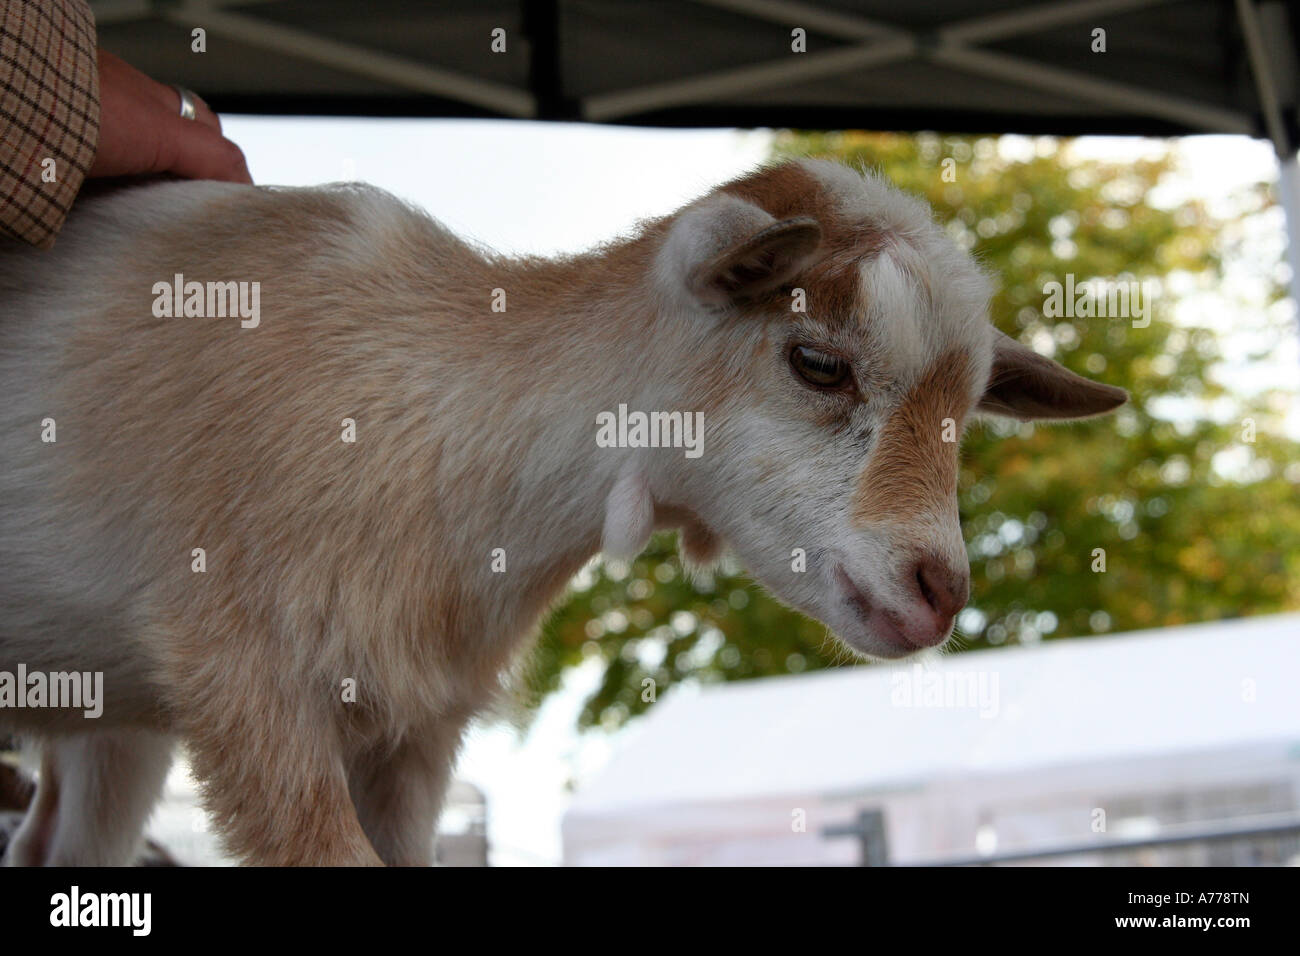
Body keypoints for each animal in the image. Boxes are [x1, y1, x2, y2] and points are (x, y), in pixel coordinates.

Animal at [0, 158, 1123, 868]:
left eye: (966, 412)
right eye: (816, 360)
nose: (939, 590)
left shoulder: (413, 734)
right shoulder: (249, 683)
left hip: (116, 723)